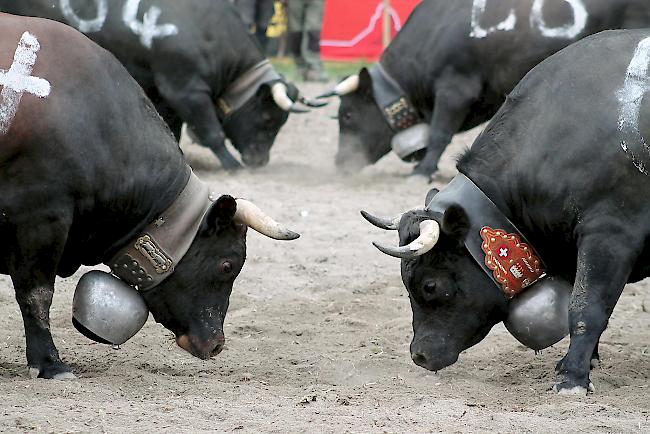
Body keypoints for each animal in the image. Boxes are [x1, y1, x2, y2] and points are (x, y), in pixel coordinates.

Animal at [0, 0, 320, 170]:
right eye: (267, 119)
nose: (259, 160)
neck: (205, 30)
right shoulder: (187, 90)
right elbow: (212, 131)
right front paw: (232, 165)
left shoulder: (168, 97)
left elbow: (173, 131)